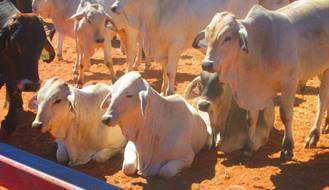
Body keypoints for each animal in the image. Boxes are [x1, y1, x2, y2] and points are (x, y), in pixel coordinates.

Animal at [0, 0, 55, 134]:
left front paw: (10, 121)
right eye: (15, 44)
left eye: (41, 44)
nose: (31, 86)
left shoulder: (11, 73)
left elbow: (13, 89)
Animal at [192, 0, 329, 162]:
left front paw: (287, 148)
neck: (259, 49)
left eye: (227, 38)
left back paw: (314, 135)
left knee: (322, 101)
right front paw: (248, 148)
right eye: (207, 37)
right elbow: (251, 119)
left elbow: (286, 115)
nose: (207, 64)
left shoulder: (289, 82)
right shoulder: (252, 93)